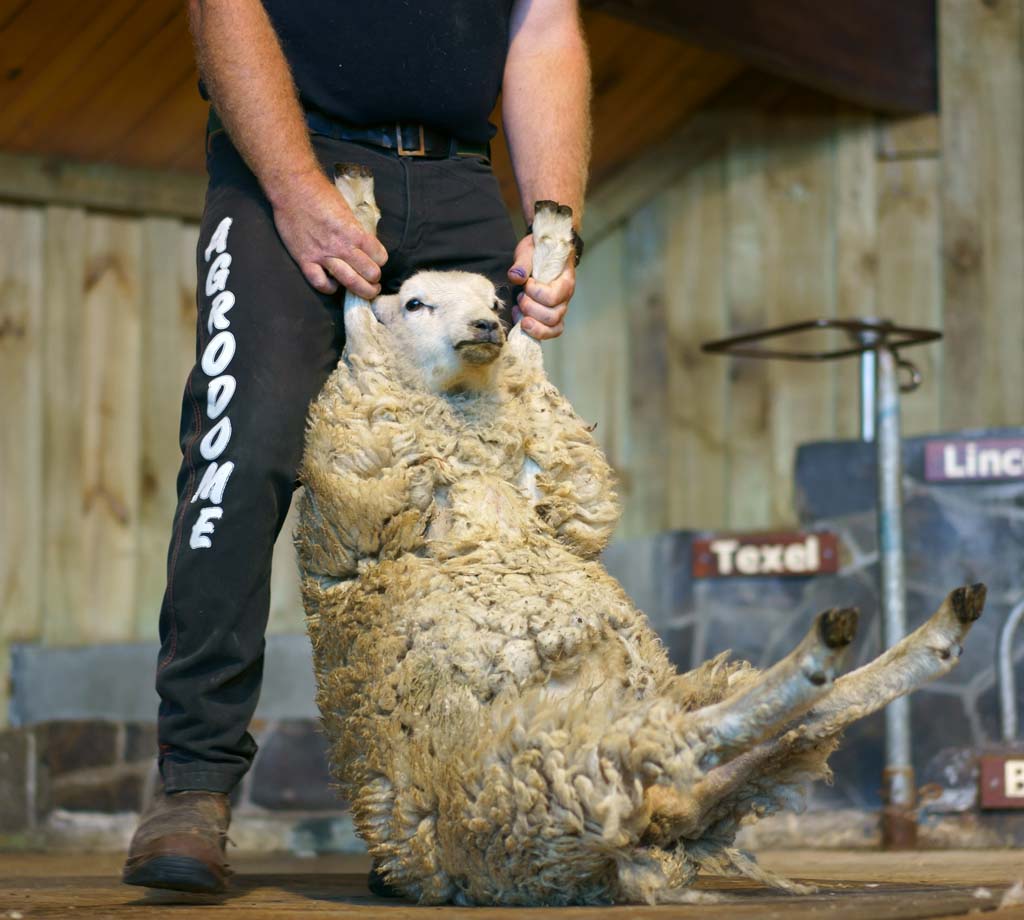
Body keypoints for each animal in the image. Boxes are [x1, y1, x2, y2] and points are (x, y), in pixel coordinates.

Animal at [294, 166, 983, 901]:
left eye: (491, 297)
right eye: (418, 302)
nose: (488, 322)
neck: (464, 421)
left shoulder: (556, 475)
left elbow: (529, 358)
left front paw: (550, 242)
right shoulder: (362, 457)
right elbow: (358, 312)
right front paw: (354, 212)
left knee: (776, 734)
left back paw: (923, 635)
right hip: (548, 761)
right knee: (695, 741)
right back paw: (844, 649)